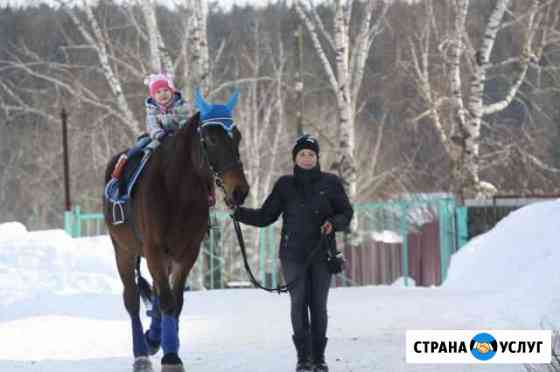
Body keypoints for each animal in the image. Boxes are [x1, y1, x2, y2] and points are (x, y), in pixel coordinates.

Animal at [101, 90, 249, 372]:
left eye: (237, 136)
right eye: (210, 138)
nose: (240, 190)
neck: (177, 191)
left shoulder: (187, 252)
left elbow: (174, 301)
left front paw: (170, 348)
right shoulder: (154, 249)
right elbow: (167, 301)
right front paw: (170, 356)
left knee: (158, 295)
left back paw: (154, 337)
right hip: (123, 250)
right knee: (132, 299)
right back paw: (141, 353)